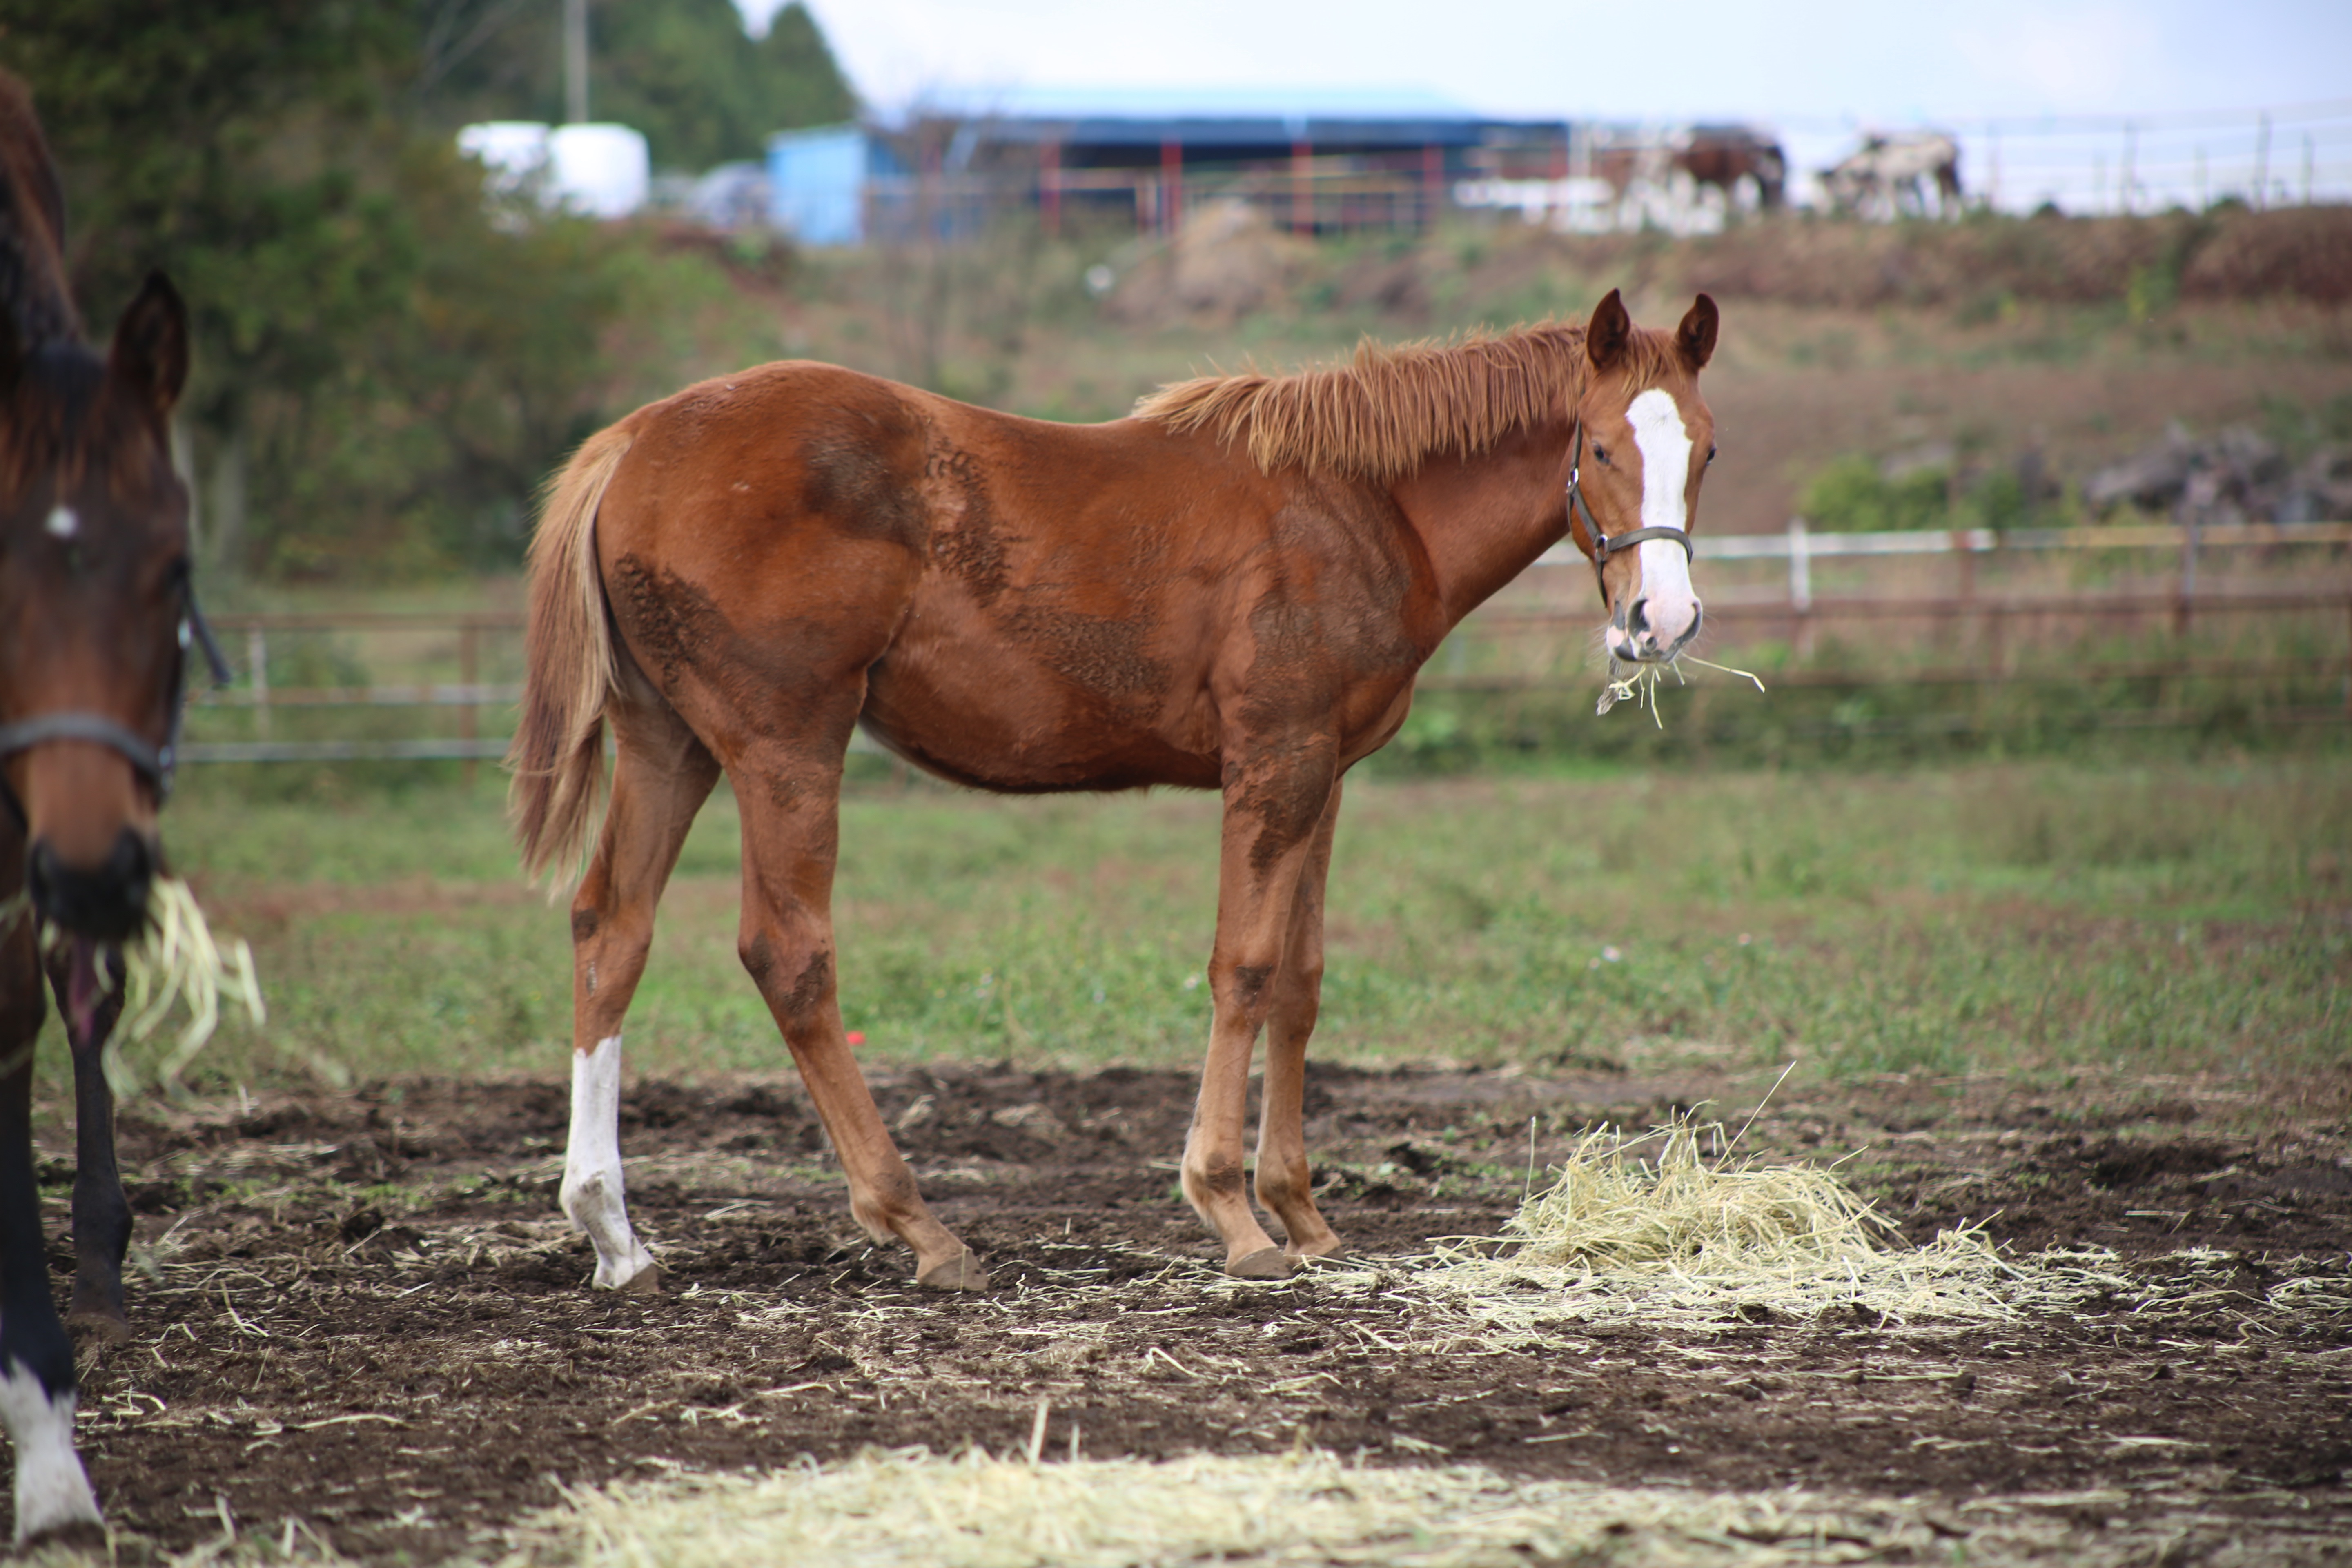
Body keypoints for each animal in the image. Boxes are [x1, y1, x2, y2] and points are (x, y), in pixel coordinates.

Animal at [506, 288, 1722, 1297]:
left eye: (1705, 449)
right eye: (1599, 445)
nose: (1660, 620)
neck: (1359, 503)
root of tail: (633, 443)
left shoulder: (1324, 772)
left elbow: (1300, 981)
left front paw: (1301, 1214)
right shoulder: (1272, 762)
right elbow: (1244, 968)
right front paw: (1233, 1214)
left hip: (669, 743)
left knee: (612, 929)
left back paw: (613, 1233)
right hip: (785, 746)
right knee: (788, 954)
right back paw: (917, 1226)